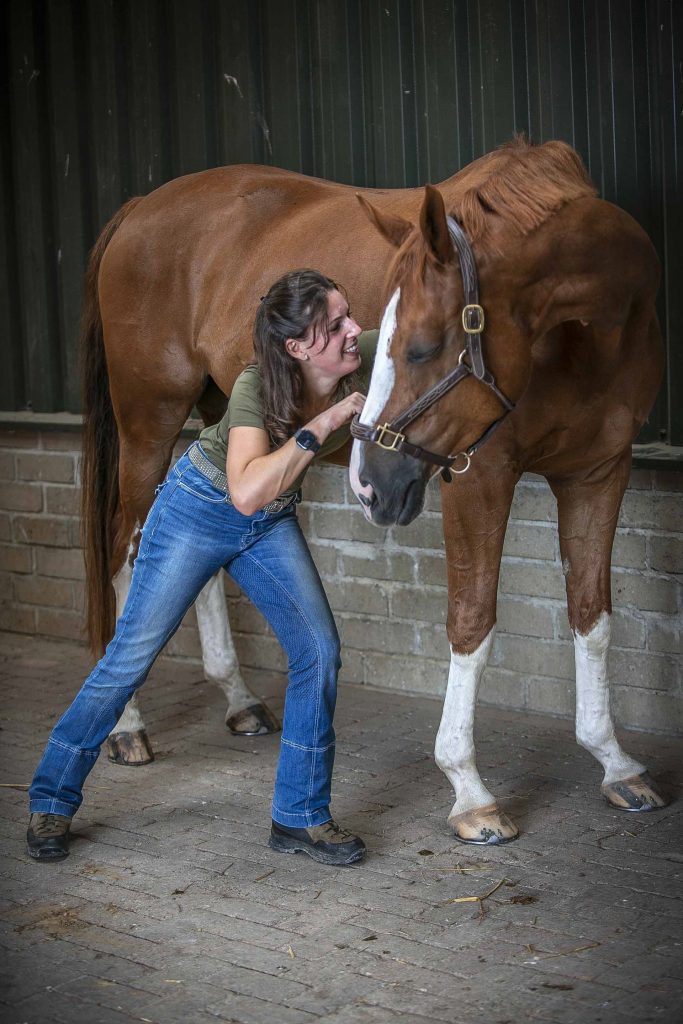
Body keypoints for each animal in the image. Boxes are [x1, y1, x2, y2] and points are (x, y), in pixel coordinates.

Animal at [349, 143, 668, 841]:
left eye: (422, 348)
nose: (366, 485)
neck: (591, 331)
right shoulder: (478, 472)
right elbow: (471, 620)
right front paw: (470, 791)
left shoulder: (600, 471)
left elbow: (592, 616)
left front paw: (616, 763)